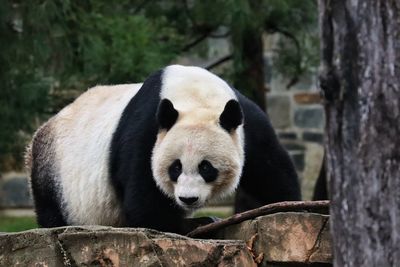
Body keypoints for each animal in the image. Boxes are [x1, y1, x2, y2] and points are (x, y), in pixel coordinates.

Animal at [25, 65, 300, 234]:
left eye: (206, 167)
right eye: (175, 167)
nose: (188, 199)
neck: (195, 96)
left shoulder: (247, 124)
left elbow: (271, 169)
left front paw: (290, 206)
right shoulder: (147, 130)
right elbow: (145, 199)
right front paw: (193, 224)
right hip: (54, 175)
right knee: (52, 210)